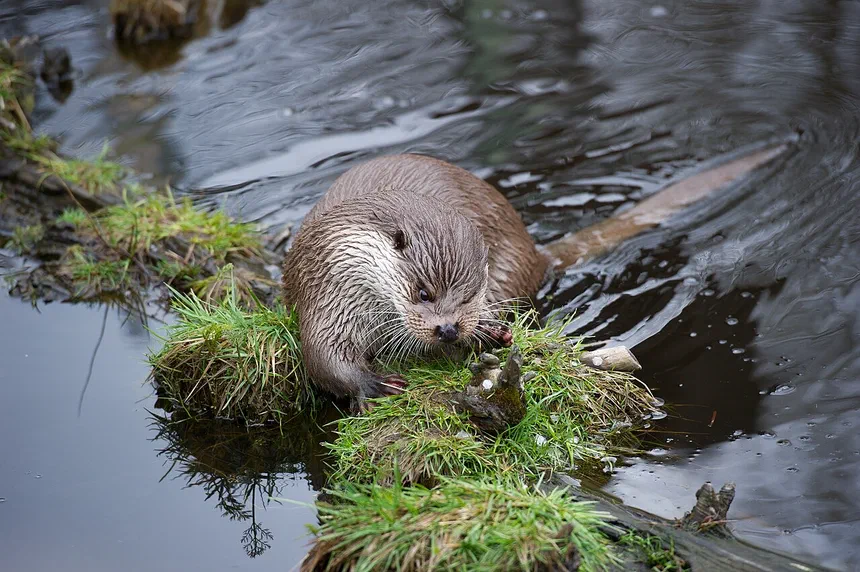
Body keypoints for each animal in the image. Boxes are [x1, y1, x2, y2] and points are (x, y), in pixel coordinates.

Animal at [282, 154, 547, 408]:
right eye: (423, 293)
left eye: (470, 296)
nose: (448, 329)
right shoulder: (329, 287)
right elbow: (323, 354)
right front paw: (376, 384)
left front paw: (491, 330)